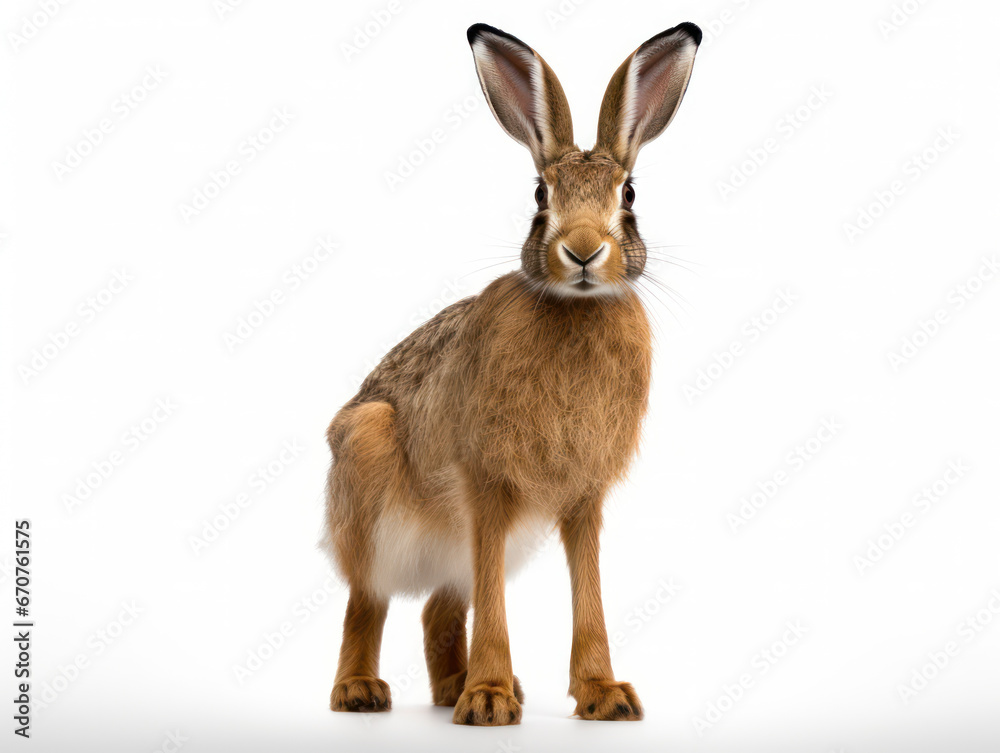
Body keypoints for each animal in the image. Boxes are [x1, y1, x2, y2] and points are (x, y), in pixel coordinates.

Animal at [324, 21, 701, 726]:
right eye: (539, 195)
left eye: (629, 195)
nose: (583, 252)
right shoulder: (487, 487)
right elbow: (494, 603)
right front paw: (489, 701)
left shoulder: (582, 499)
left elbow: (588, 591)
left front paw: (604, 696)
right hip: (368, 476)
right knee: (368, 602)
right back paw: (363, 692)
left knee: (439, 606)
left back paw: (453, 688)